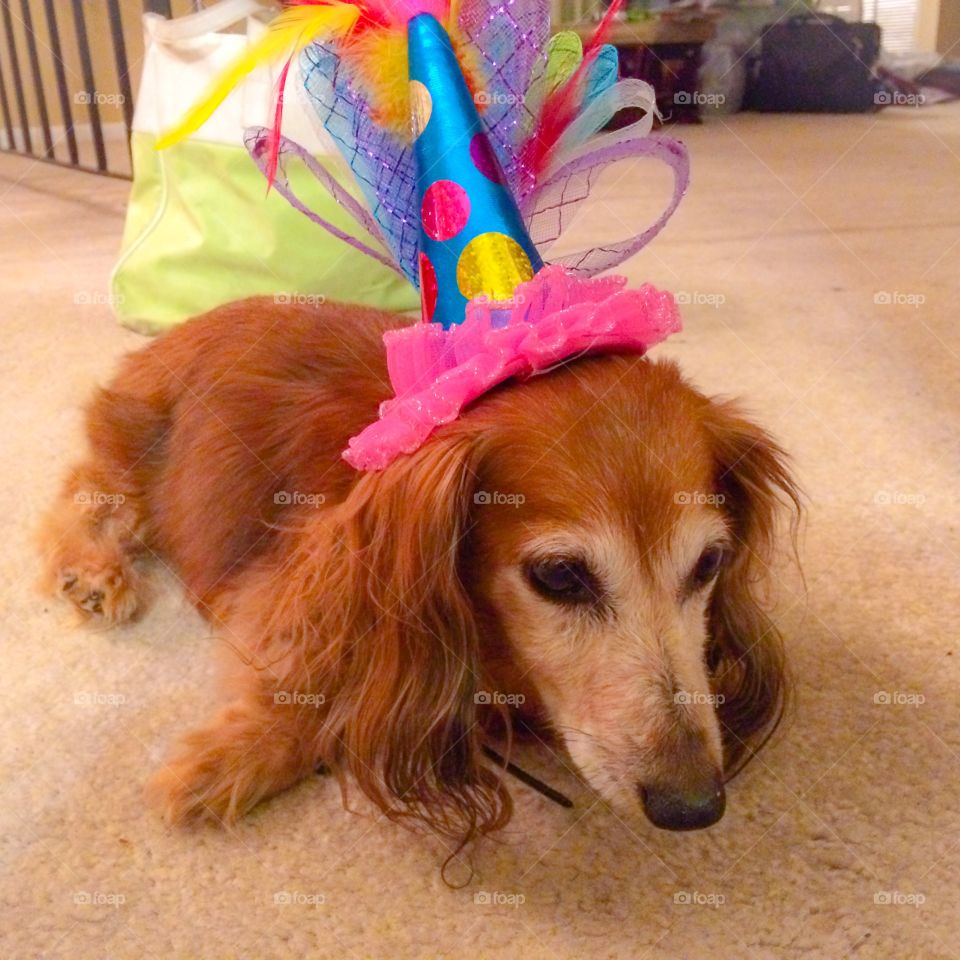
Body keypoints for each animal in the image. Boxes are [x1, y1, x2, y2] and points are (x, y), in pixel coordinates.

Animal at [39, 298, 804, 840]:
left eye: (711, 562)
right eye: (559, 577)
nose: (694, 805)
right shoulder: (294, 588)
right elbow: (320, 689)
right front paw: (230, 758)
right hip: (136, 444)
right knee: (88, 490)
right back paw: (91, 568)